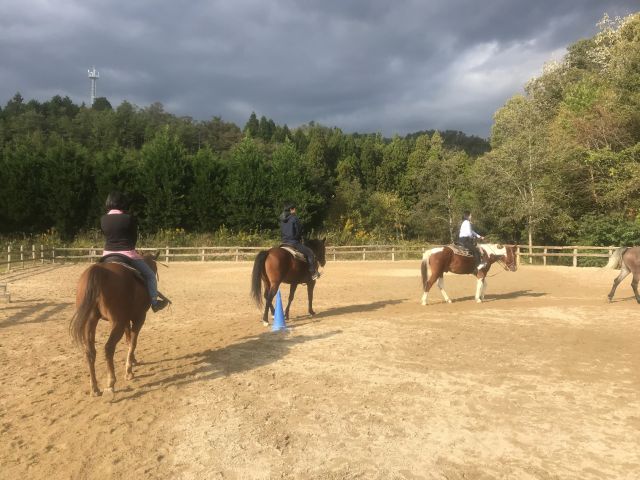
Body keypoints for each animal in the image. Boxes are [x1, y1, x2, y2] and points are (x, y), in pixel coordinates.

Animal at [69, 253, 160, 396]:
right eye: (154, 268)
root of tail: (99, 271)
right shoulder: (139, 318)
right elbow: (133, 342)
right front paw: (129, 371)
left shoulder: (126, 320)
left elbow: (129, 341)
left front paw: (132, 361)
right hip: (117, 323)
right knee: (109, 348)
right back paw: (111, 382)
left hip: (91, 321)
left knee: (90, 352)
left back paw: (94, 388)